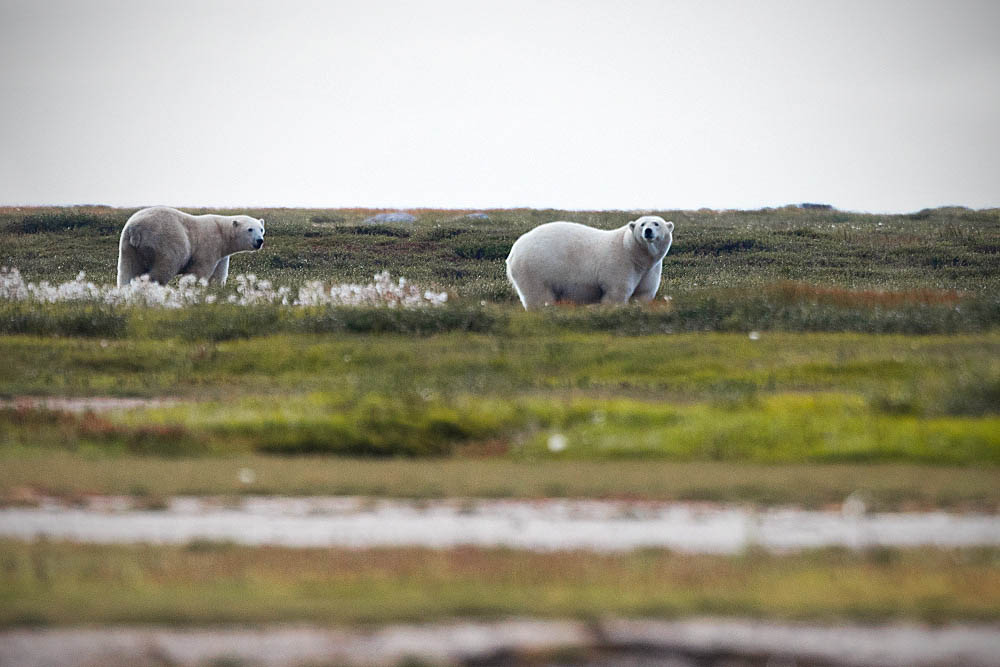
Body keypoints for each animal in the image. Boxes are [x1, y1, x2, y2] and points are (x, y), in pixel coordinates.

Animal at [116, 205, 266, 286]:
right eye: (250, 229)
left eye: (261, 229)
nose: (260, 241)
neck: (222, 232)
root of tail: (135, 228)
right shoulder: (209, 245)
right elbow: (199, 271)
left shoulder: (222, 254)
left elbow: (219, 274)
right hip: (164, 242)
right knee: (163, 268)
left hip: (128, 247)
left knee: (126, 270)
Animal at [504, 217, 676, 310]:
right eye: (642, 224)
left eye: (656, 223)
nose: (648, 231)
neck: (633, 252)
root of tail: (513, 252)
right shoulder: (620, 263)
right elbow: (617, 293)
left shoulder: (650, 270)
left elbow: (644, 294)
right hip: (536, 268)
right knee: (539, 297)